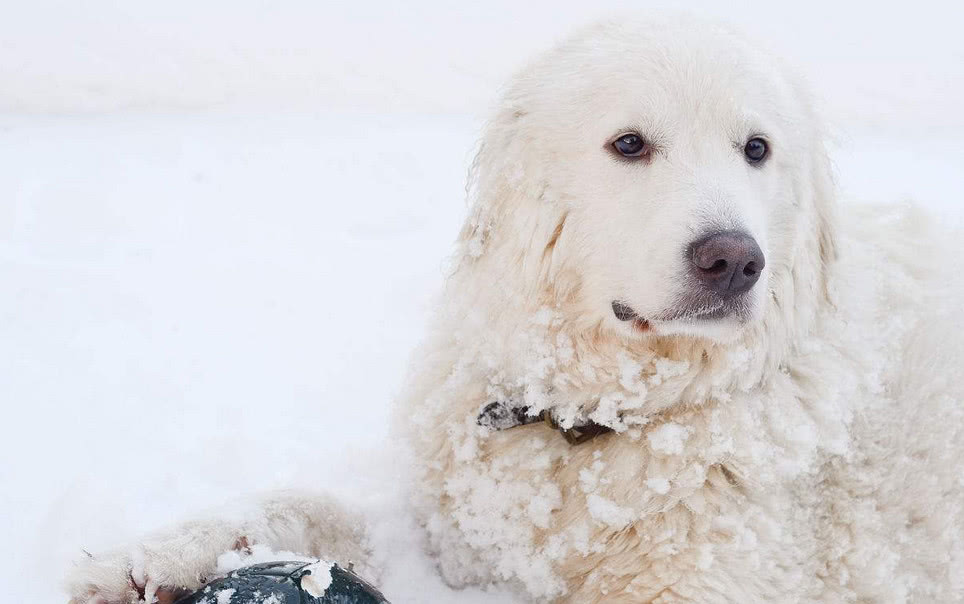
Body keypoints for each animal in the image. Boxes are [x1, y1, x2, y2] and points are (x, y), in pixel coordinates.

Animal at [68, 15, 964, 604]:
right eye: (629, 144)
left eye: (756, 149)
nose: (735, 260)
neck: (595, 422)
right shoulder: (454, 541)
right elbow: (307, 506)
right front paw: (159, 557)